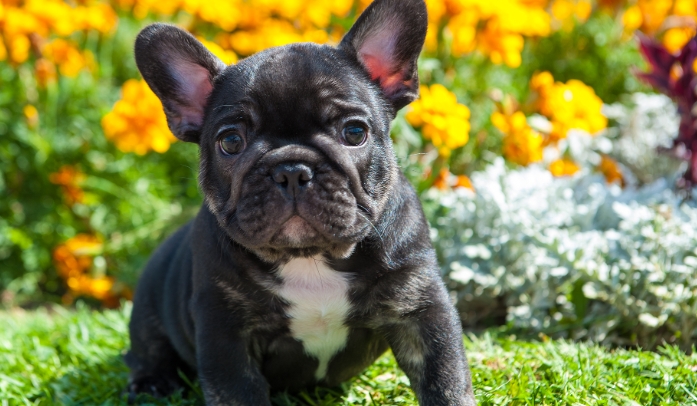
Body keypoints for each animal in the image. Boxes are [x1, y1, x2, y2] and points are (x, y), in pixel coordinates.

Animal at [125, 0, 476, 402]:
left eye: (354, 132)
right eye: (231, 141)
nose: (291, 170)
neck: (308, 258)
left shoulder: (421, 308)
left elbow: (445, 378)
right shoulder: (224, 331)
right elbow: (237, 393)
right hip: (148, 306)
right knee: (146, 349)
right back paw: (150, 382)